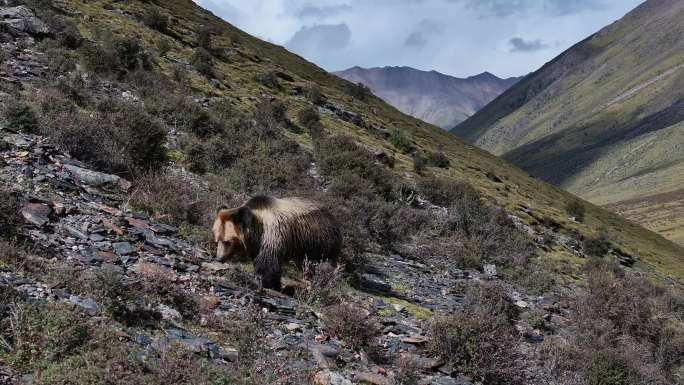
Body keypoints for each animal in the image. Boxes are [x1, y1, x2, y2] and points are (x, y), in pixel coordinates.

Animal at [211, 195, 342, 288]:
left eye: (227, 241)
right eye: (217, 240)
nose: (219, 258)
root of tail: (333, 217)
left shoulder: (272, 234)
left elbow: (268, 263)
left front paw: (267, 283)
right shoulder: (257, 244)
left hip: (320, 240)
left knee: (323, 264)